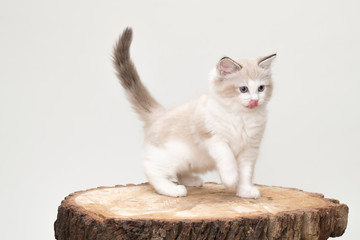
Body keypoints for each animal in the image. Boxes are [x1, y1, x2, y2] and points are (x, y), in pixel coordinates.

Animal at [112, 27, 276, 199]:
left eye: (261, 88)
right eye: (243, 89)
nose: (255, 100)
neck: (241, 117)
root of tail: (160, 114)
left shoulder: (250, 149)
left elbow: (246, 172)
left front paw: (245, 191)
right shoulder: (212, 137)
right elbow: (227, 155)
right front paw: (230, 178)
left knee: (178, 172)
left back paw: (191, 180)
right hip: (172, 155)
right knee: (152, 170)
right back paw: (172, 189)